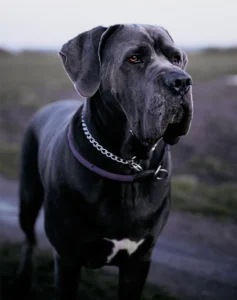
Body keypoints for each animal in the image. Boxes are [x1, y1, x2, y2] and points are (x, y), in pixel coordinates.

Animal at [18, 24, 193, 298]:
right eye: (134, 58)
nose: (182, 81)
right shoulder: (67, 259)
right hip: (28, 198)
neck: (128, 163)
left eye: (176, 58)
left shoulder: (139, 262)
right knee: (28, 241)